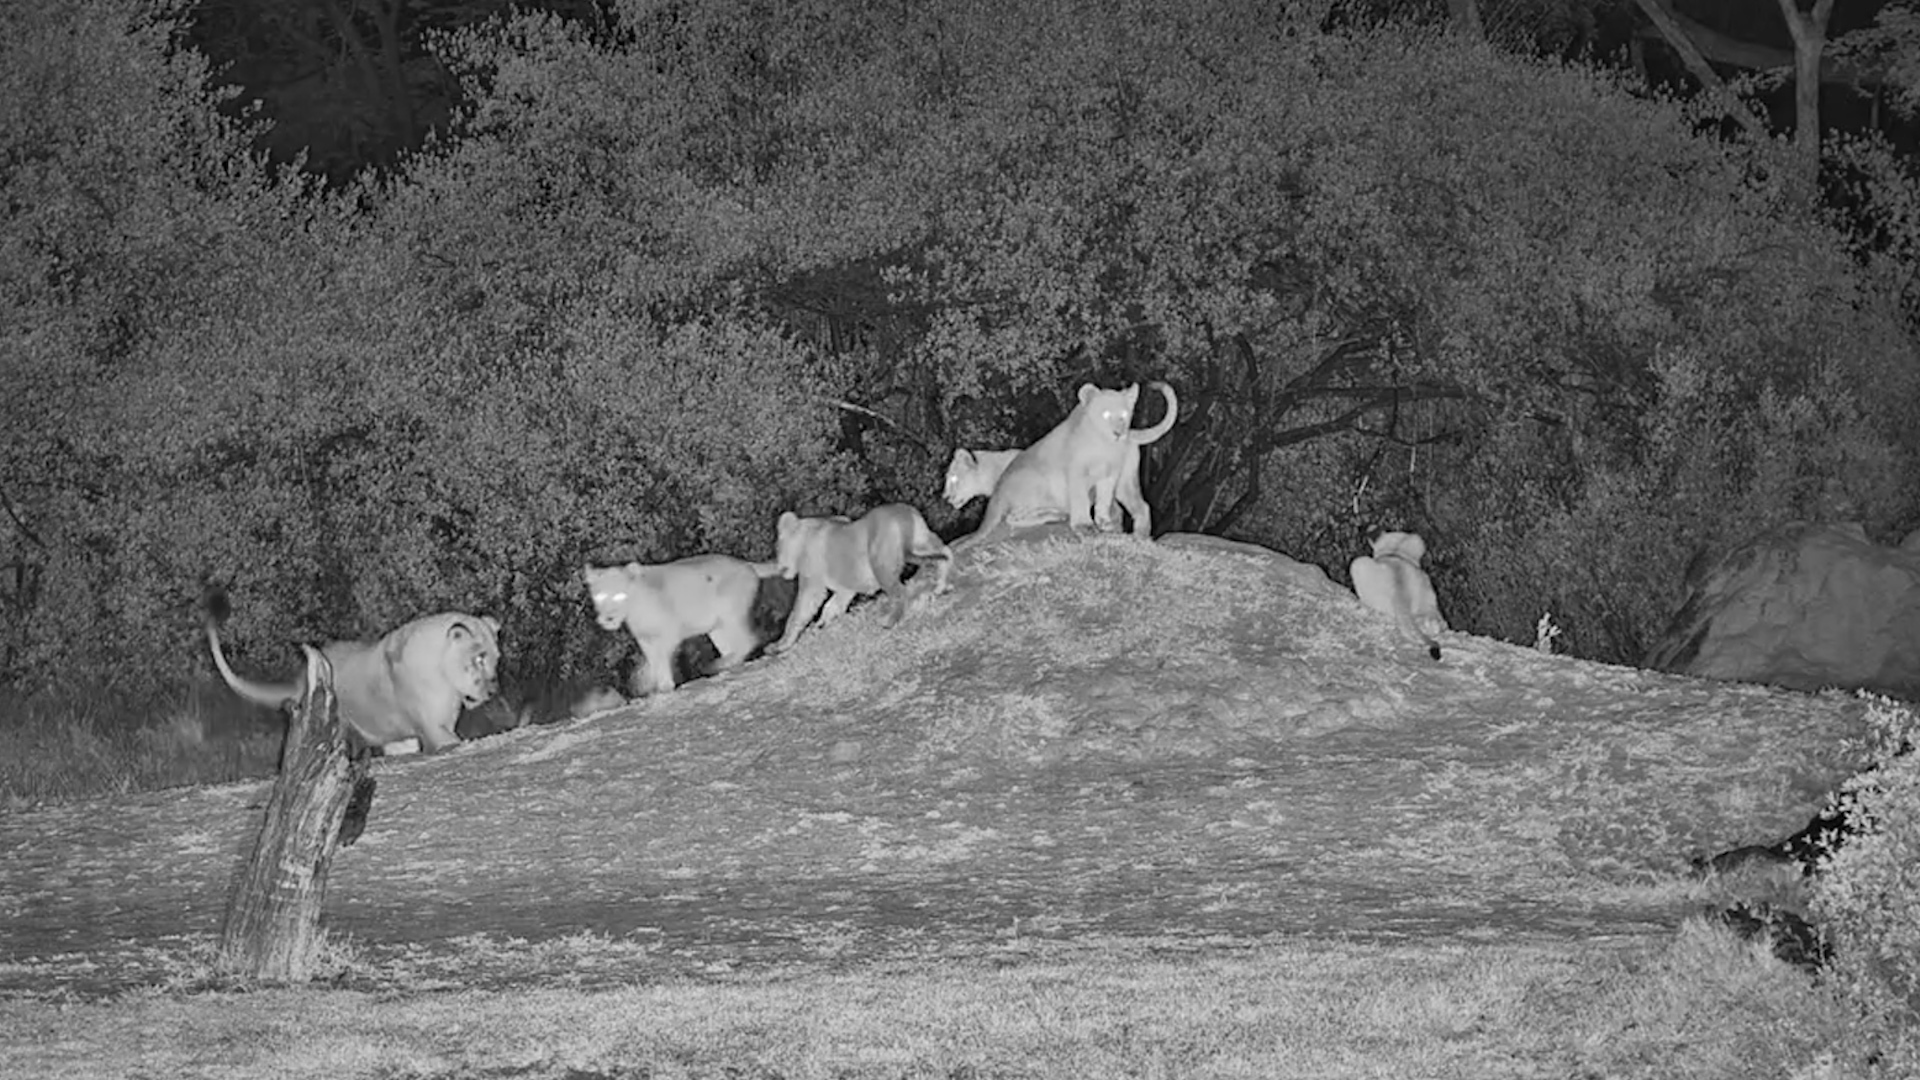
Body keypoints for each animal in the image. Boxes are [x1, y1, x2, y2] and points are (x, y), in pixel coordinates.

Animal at [206, 594, 502, 754]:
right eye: (479, 658)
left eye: (495, 658)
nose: (492, 691)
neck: (446, 681)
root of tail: (300, 680)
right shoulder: (431, 726)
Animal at [583, 555, 781, 695]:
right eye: (599, 596)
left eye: (620, 595)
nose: (608, 618)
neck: (633, 608)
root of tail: (746, 563)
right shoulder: (645, 639)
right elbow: (653, 660)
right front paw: (655, 684)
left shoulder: (669, 634)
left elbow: (660, 659)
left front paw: (659, 684)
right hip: (716, 627)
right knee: (733, 646)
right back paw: (724, 666)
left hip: (730, 615)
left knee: (749, 640)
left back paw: (715, 665)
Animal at [768, 503, 953, 652]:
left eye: (777, 548)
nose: (778, 565)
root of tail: (901, 513)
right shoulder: (845, 590)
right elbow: (830, 607)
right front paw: (821, 625)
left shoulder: (812, 584)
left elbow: (799, 612)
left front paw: (780, 646)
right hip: (923, 543)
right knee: (946, 554)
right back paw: (941, 587)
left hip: (881, 564)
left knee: (901, 592)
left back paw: (889, 621)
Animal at [961, 381, 1177, 545]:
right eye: (1106, 414)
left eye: (1124, 415)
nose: (1119, 433)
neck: (1104, 446)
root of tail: (998, 493)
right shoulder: (1076, 472)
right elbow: (1080, 497)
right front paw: (1084, 525)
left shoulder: (1110, 475)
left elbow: (1104, 499)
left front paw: (1103, 521)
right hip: (1037, 481)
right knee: (1012, 518)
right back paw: (1057, 515)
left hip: (1125, 482)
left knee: (1142, 506)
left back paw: (1141, 535)